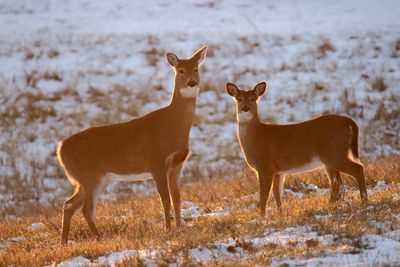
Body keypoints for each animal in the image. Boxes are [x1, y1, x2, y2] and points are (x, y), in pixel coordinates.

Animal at [57, 46, 208, 245]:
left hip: (95, 179)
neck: (171, 125)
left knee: (69, 204)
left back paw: (64, 242)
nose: (191, 82)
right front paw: (168, 230)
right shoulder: (156, 162)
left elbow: (177, 199)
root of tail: (60, 149)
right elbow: (165, 200)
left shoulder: (176, 165)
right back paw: (100, 238)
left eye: (196, 69)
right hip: (90, 176)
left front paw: (179, 228)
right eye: (181, 70)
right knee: (85, 209)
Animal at [227, 80, 368, 217]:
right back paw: (331, 206)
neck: (256, 137)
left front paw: (262, 217)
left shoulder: (265, 166)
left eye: (253, 98)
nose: (245, 108)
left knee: (357, 169)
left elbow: (264, 195)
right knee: (336, 182)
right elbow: (277, 192)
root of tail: (348, 122)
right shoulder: (278, 170)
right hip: (329, 159)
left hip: (335, 153)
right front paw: (281, 215)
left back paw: (364, 201)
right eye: (239, 99)